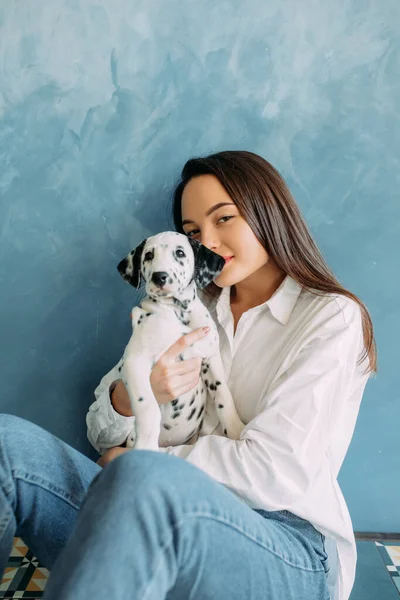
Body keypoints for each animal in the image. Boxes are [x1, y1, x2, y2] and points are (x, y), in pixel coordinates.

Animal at [117, 230, 245, 450]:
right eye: (148, 255)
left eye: (180, 253)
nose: (159, 276)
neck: (178, 312)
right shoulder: (135, 361)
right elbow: (148, 408)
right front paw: (145, 446)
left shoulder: (210, 358)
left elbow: (223, 395)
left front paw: (235, 429)